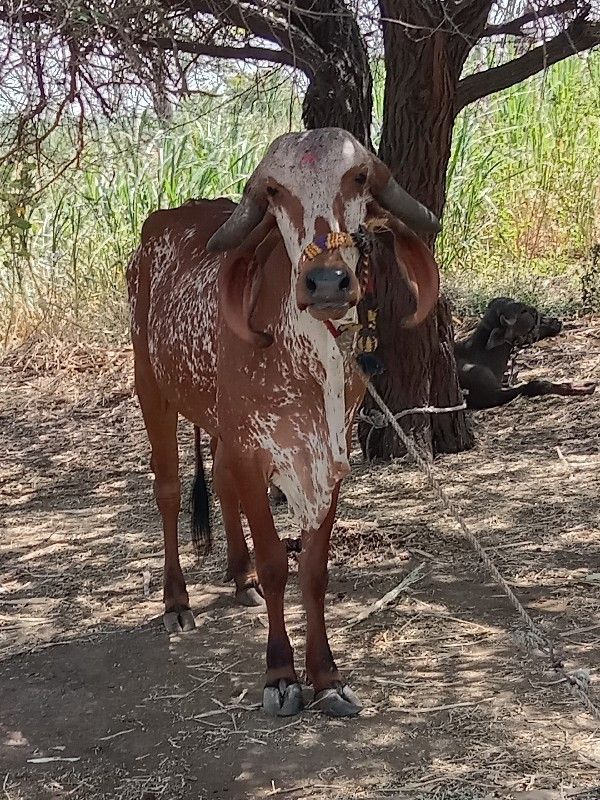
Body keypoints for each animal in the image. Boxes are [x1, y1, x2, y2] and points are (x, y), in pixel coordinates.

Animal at [127, 126, 440, 720]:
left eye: (358, 177)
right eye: (273, 192)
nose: (327, 282)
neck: (312, 363)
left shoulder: (329, 458)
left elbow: (313, 571)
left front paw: (326, 677)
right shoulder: (257, 453)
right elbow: (278, 563)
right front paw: (280, 675)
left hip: (219, 424)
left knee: (219, 481)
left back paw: (239, 575)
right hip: (151, 388)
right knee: (168, 489)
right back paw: (177, 600)